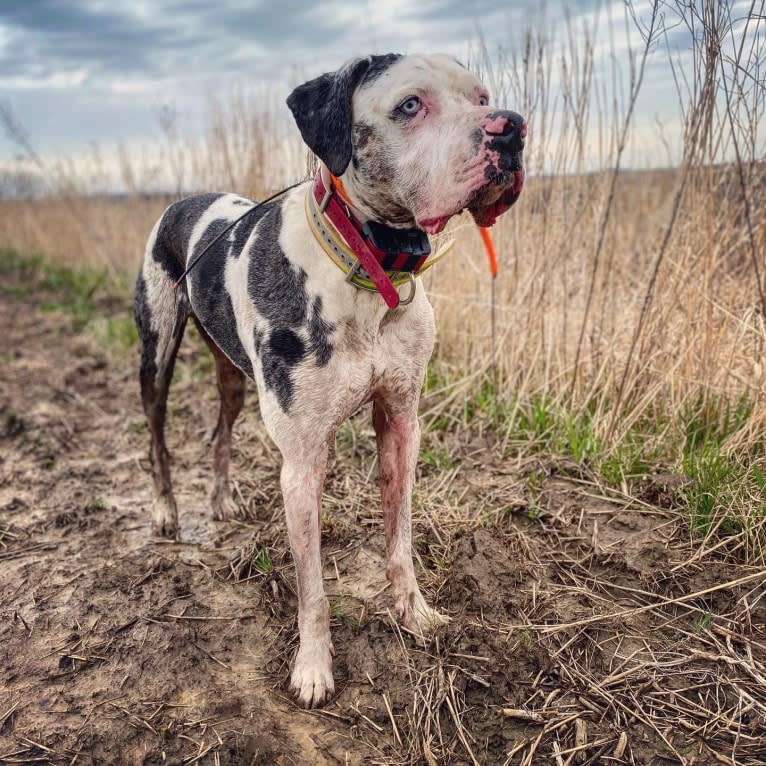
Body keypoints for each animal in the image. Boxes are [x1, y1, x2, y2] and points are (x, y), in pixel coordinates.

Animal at [135, 52, 524, 708]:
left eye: (481, 97)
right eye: (410, 105)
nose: (512, 128)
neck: (368, 264)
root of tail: (181, 201)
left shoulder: (401, 423)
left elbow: (400, 544)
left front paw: (414, 614)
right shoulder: (302, 462)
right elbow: (312, 589)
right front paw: (313, 669)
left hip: (234, 376)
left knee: (219, 433)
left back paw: (220, 499)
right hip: (156, 354)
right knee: (158, 436)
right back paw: (166, 509)